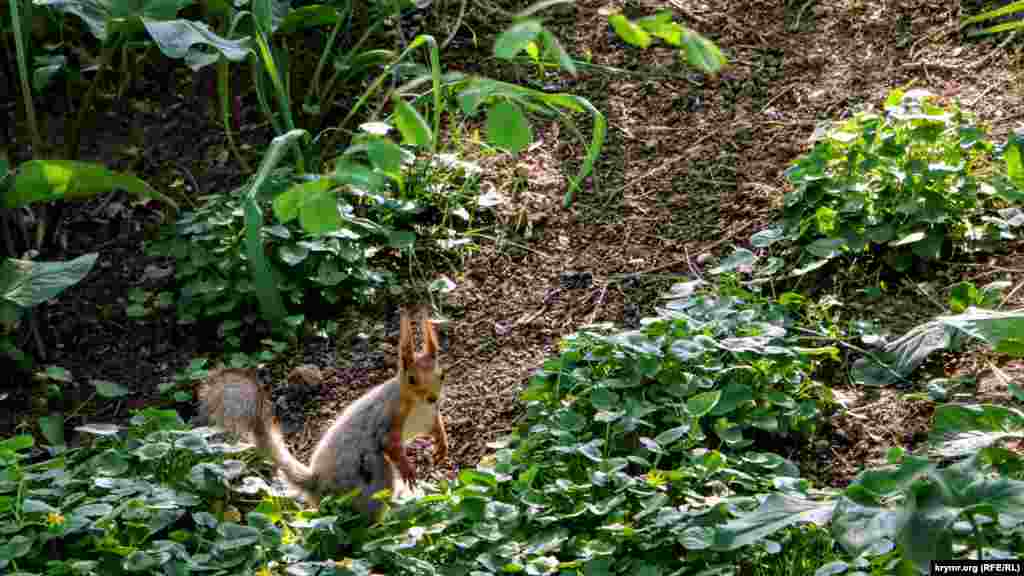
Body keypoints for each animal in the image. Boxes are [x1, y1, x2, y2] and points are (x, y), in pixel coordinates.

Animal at [199, 307, 448, 518]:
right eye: (412, 379)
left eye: (443, 374)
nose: (432, 398)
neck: (418, 405)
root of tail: (316, 483)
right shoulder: (390, 416)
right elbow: (390, 444)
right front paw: (408, 470)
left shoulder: (430, 416)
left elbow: (437, 427)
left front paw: (442, 447)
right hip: (370, 474)